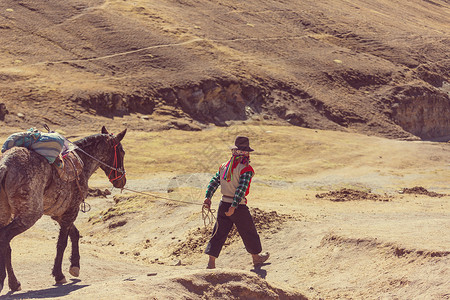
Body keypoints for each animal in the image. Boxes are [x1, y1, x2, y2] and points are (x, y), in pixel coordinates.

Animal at [0, 126, 127, 292]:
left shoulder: (61, 213)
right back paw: (7, 281)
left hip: (5, 214)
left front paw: (75, 266)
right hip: (29, 215)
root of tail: (5, 165)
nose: (122, 181)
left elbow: (75, 234)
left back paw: (14, 283)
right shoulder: (71, 211)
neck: (83, 162)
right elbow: (62, 243)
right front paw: (59, 275)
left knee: (6, 244)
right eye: (122, 152)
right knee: (4, 238)